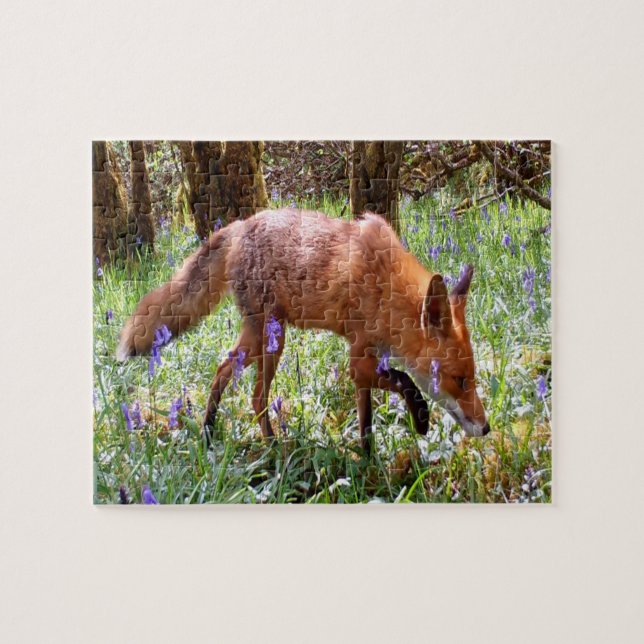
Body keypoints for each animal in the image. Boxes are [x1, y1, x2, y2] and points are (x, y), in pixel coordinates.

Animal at [117, 208, 490, 452]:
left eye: (473, 378)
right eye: (459, 380)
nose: (486, 428)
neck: (386, 285)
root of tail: (240, 225)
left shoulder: (366, 361)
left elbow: (366, 422)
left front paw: (369, 464)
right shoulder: (360, 359)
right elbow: (406, 381)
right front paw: (421, 418)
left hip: (263, 338)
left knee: (229, 375)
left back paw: (213, 434)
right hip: (271, 340)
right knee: (251, 392)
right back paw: (269, 448)